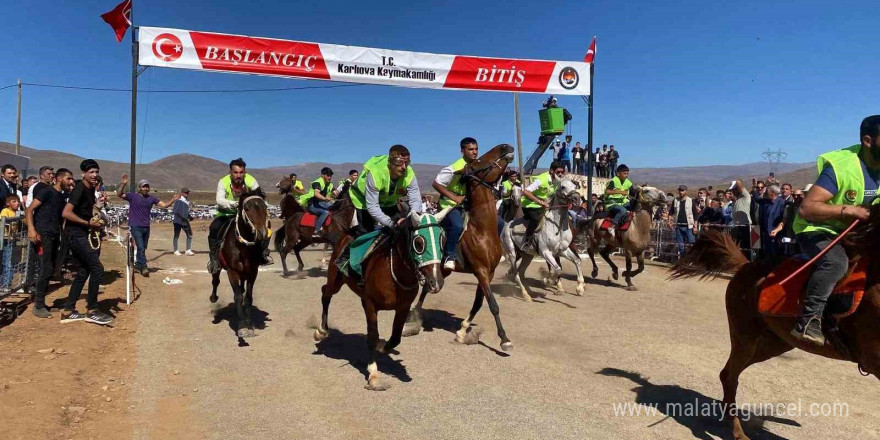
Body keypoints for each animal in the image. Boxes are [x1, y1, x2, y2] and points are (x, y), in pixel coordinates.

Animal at [211, 187, 272, 338]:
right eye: (247, 208)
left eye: (264, 207)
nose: (262, 233)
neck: (242, 246)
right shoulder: (232, 272)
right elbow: (238, 296)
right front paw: (242, 327)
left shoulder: (253, 272)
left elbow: (248, 297)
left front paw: (249, 325)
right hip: (219, 267)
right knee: (215, 280)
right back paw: (213, 298)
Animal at [312, 211, 446, 392]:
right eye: (419, 243)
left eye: (443, 240)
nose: (436, 281)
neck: (394, 271)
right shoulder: (370, 304)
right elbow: (372, 336)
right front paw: (374, 374)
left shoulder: (403, 307)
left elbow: (395, 337)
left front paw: (383, 346)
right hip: (335, 279)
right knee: (326, 294)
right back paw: (321, 330)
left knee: (324, 290)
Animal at [400, 144, 516, 350]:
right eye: (479, 161)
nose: (506, 146)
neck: (481, 229)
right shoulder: (481, 270)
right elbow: (493, 304)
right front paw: (504, 339)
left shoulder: (489, 272)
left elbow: (479, 302)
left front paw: (462, 331)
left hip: (443, 270)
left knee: (428, 287)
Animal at [668, 214, 880, 440]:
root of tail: (746, 266)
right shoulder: (874, 359)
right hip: (746, 338)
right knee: (729, 376)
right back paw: (737, 432)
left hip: (773, 343)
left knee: (729, 375)